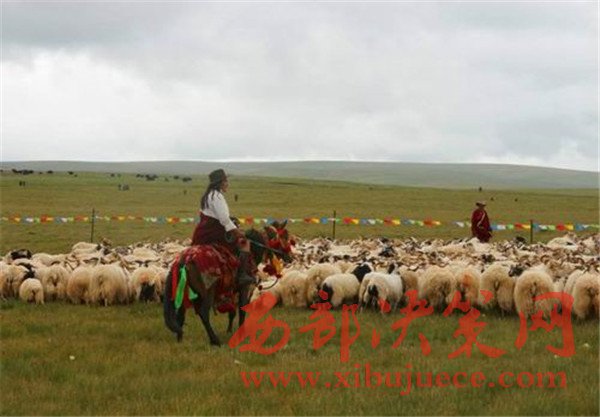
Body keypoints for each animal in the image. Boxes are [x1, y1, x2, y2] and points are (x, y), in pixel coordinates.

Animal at [163, 220, 293, 346]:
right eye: (284, 237)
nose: (291, 258)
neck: (252, 251)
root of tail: (184, 260)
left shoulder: (232, 291)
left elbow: (232, 312)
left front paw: (230, 331)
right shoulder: (244, 288)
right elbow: (242, 310)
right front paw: (241, 334)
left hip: (184, 291)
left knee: (181, 313)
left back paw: (180, 338)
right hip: (208, 292)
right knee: (203, 313)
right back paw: (214, 340)